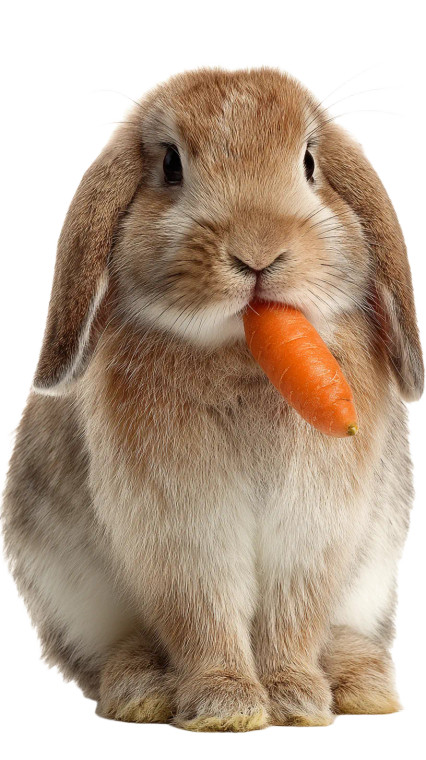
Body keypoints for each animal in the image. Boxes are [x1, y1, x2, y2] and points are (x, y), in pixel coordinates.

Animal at [2, 68, 423, 731]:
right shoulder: (183, 531)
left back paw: (360, 684)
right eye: (171, 164)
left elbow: (293, 614)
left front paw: (296, 700)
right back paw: (142, 687)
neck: (243, 354)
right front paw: (225, 705)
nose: (258, 252)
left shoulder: (314, 529)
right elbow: (202, 611)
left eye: (309, 161)